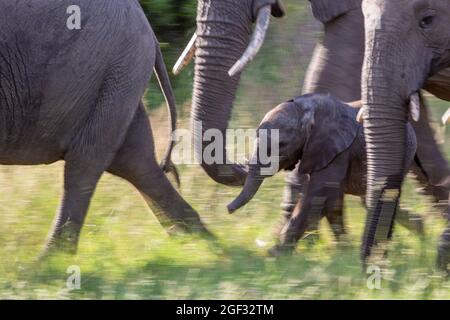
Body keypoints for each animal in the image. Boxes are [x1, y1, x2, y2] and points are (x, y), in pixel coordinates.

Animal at [229, 93, 422, 255]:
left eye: (281, 145)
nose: (228, 209)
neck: (306, 109)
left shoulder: (338, 151)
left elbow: (318, 195)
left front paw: (275, 254)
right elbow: (330, 201)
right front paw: (344, 250)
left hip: (402, 154)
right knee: (369, 200)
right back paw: (420, 233)